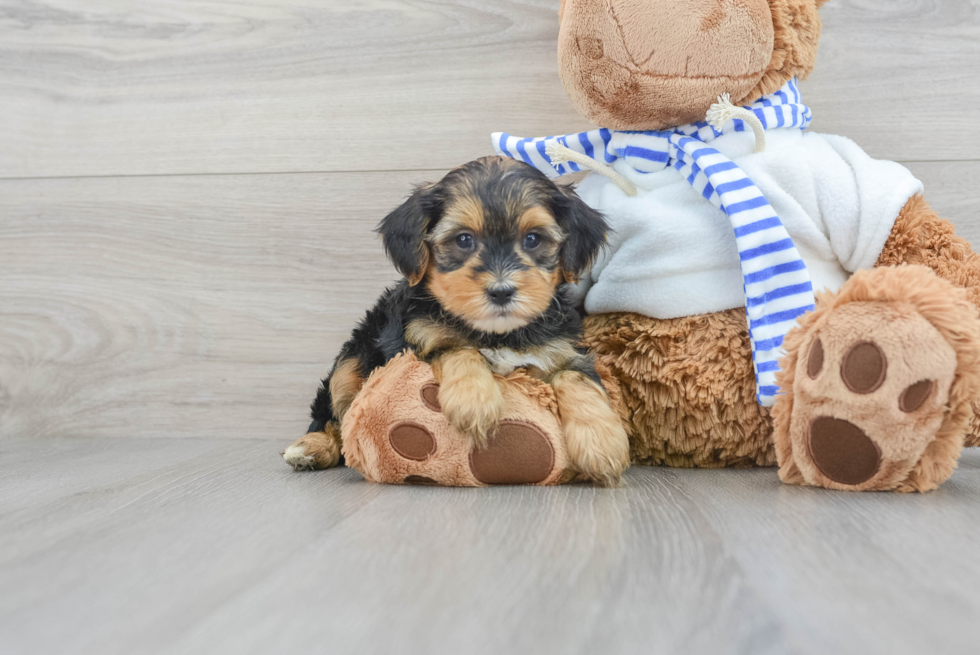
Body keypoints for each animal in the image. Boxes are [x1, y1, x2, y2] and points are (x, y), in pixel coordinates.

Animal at [282, 156, 628, 486]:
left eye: (533, 239)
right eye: (463, 240)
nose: (501, 291)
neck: (496, 334)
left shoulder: (562, 349)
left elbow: (577, 377)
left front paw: (602, 444)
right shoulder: (417, 341)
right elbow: (457, 348)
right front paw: (474, 401)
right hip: (352, 357)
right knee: (337, 414)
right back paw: (311, 447)